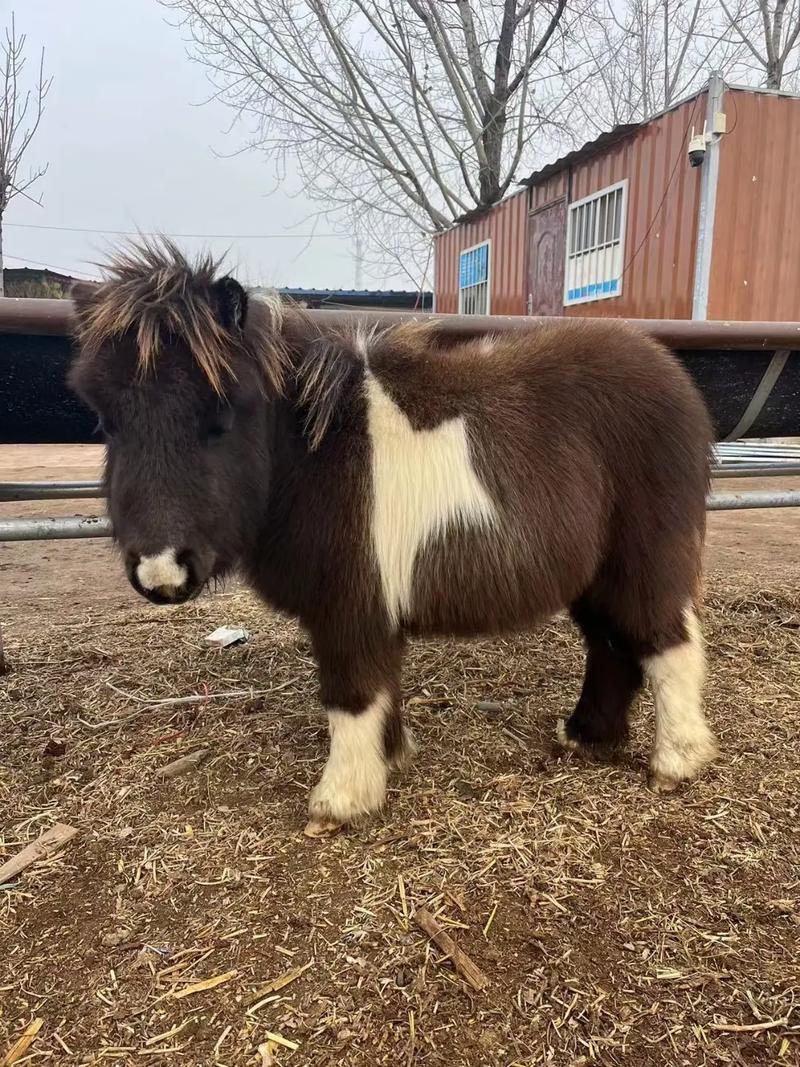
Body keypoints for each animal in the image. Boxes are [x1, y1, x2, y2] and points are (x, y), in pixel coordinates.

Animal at [69, 241, 717, 835]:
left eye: (221, 417)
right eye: (104, 421)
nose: (161, 571)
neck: (313, 454)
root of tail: (672, 377)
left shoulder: (350, 610)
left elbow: (351, 695)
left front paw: (339, 802)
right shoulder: (373, 611)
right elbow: (383, 688)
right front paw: (392, 758)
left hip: (644, 560)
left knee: (668, 644)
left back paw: (676, 764)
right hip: (594, 577)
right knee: (613, 646)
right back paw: (585, 737)